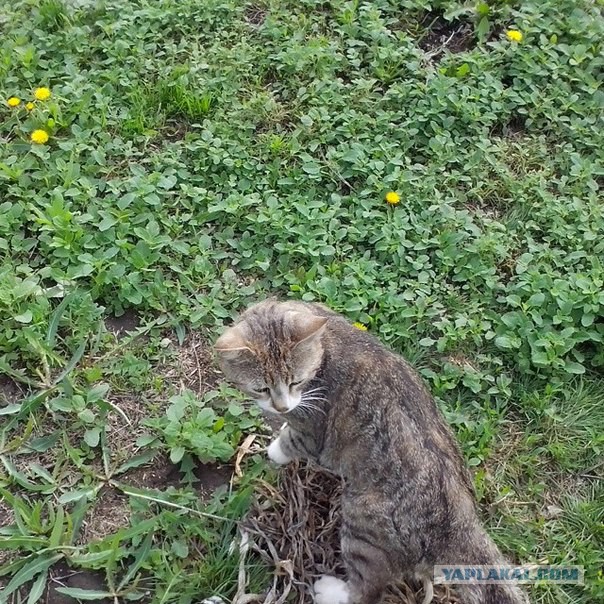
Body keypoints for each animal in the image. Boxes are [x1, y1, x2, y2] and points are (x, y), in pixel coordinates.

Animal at [215, 300, 528, 604]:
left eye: (295, 382)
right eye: (262, 388)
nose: (281, 407)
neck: (325, 346)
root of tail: (457, 522)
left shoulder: (312, 432)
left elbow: (291, 441)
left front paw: (275, 449)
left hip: (362, 525)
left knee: (368, 591)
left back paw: (332, 591)